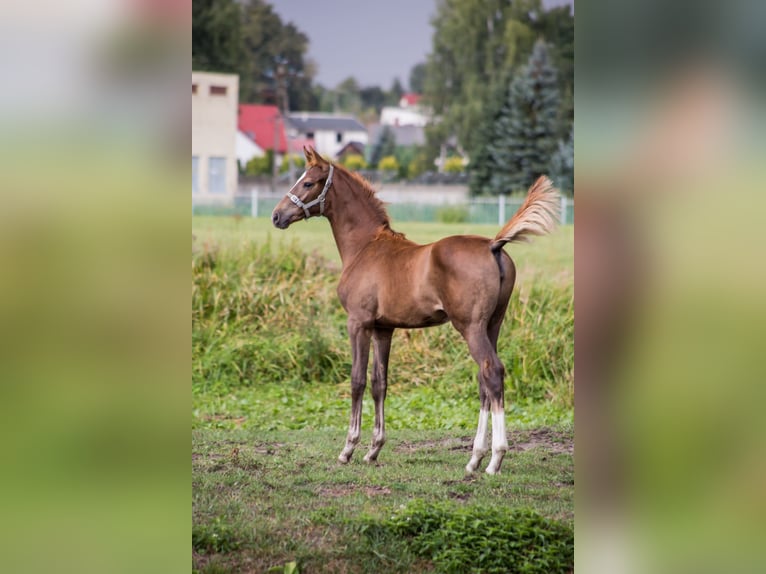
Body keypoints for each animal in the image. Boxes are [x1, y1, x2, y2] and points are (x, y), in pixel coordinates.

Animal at [272, 146, 559, 474]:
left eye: (307, 182)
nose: (277, 215)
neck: (365, 247)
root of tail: (493, 245)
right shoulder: (384, 328)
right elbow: (379, 383)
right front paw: (374, 450)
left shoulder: (358, 322)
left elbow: (357, 380)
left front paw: (348, 449)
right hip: (493, 325)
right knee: (484, 381)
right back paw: (475, 458)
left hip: (470, 327)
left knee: (492, 372)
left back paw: (494, 458)